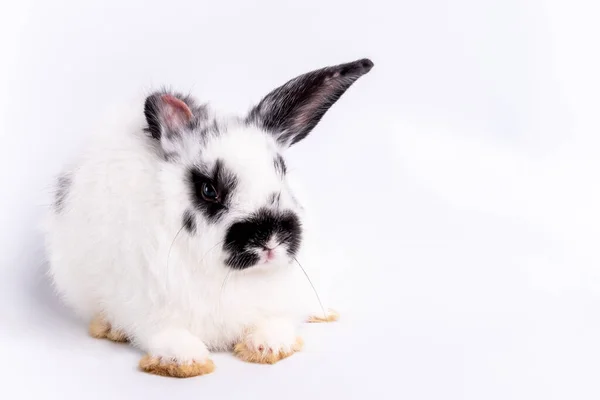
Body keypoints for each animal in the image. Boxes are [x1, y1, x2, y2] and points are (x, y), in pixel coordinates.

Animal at [45, 57, 376, 376]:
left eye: (281, 170)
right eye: (208, 190)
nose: (270, 238)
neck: (228, 276)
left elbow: (275, 321)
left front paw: (268, 346)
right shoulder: (146, 304)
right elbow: (164, 332)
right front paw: (182, 361)